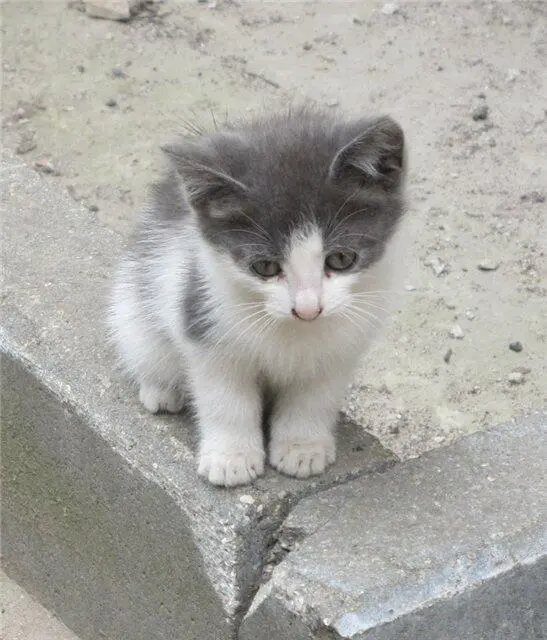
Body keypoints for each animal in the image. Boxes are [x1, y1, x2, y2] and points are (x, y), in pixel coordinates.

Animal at [108, 106, 406, 484]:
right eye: (265, 266)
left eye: (341, 259)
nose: (307, 309)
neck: (295, 333)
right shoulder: (205, 320)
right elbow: (225, 398)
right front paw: (230, 458)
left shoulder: (345, 342)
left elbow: (316, 394)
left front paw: (302, 448)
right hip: (135, 306)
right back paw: (162, 390)